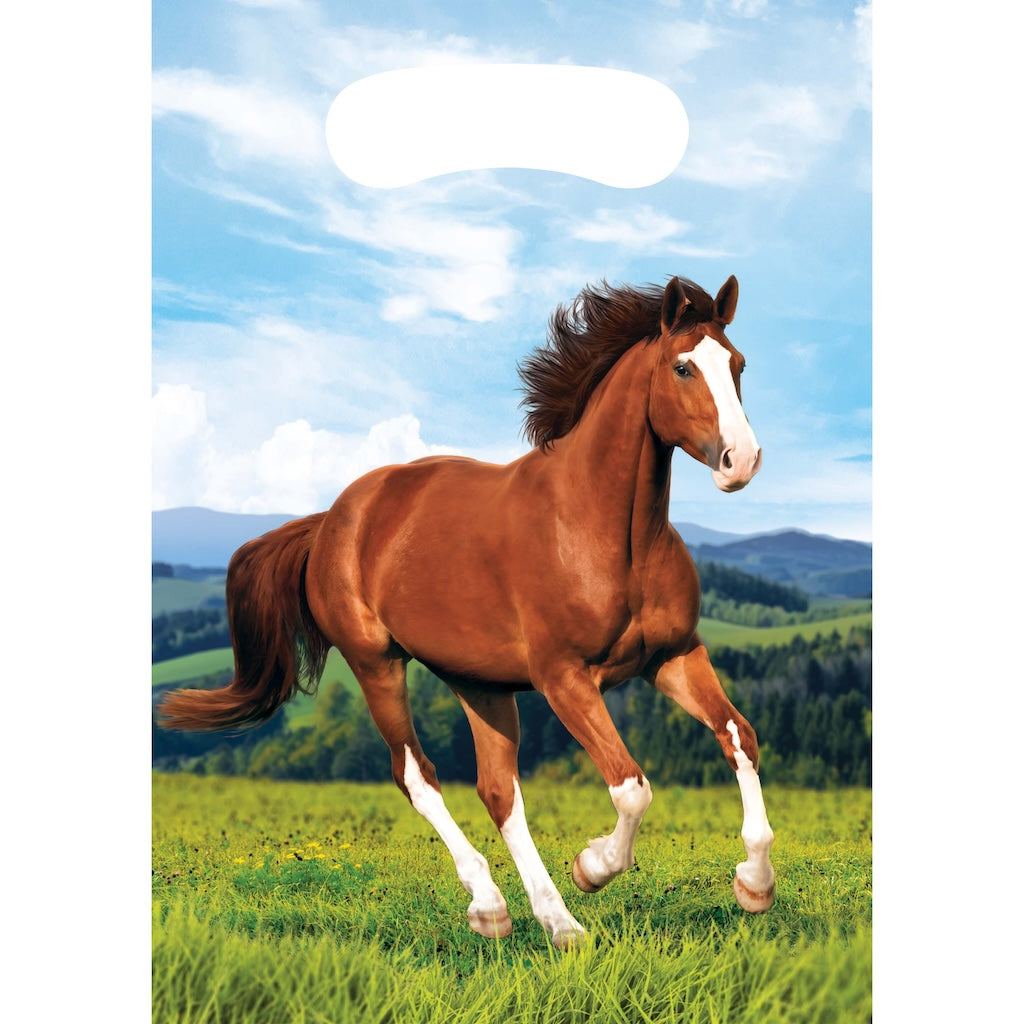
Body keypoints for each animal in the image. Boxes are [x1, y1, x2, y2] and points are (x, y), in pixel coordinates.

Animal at [160, 274, 776, 949]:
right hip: (376, 663)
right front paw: (592, 866)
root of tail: (331, 521)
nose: (741, 461)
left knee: (498, 791)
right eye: (683, 367)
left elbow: (740, 737)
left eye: (739, 364)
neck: (601, 528)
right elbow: (631, 787)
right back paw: (495, 907)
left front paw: (754, 885)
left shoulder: (673, 656)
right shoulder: (563, 678)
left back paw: (555, 923)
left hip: (479, 682)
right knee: (417, 775)